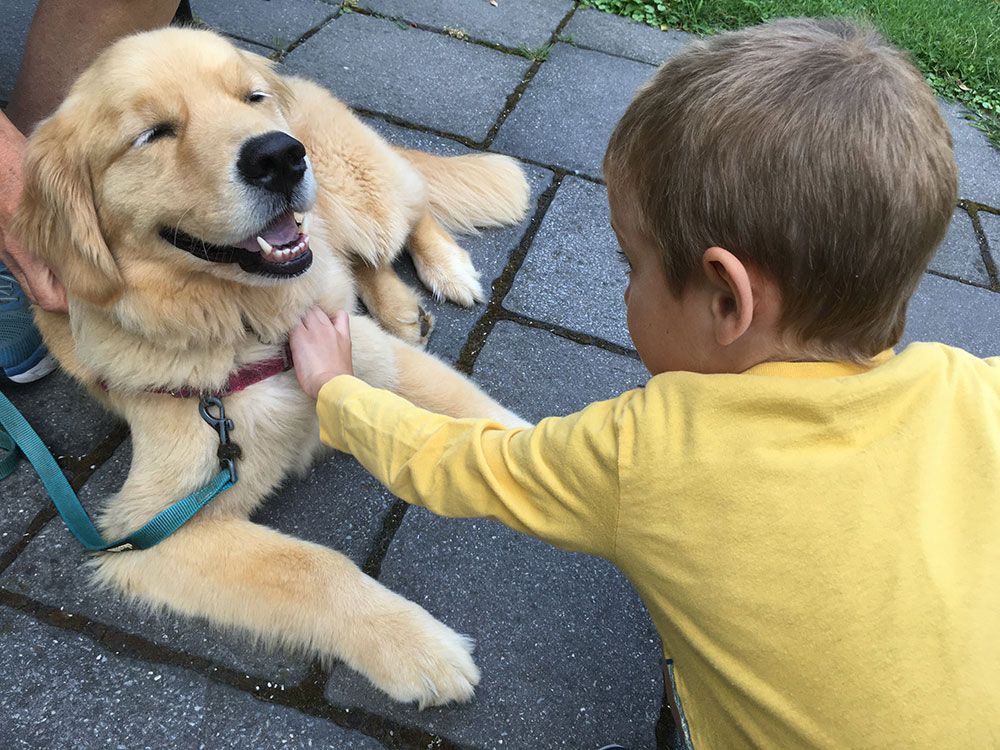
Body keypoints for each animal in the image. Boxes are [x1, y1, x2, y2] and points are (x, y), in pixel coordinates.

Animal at [13, 27, 532, 712]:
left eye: (250, 98)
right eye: (153, 133)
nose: (280, 156)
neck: (248, 328)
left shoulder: (375, 358)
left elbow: (485, 415)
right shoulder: (149, 530)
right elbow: (316, 567)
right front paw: (418, 647)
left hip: (357, 194)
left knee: (406, 215)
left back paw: (446, 269)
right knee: (362, 259)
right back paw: (401, 306)